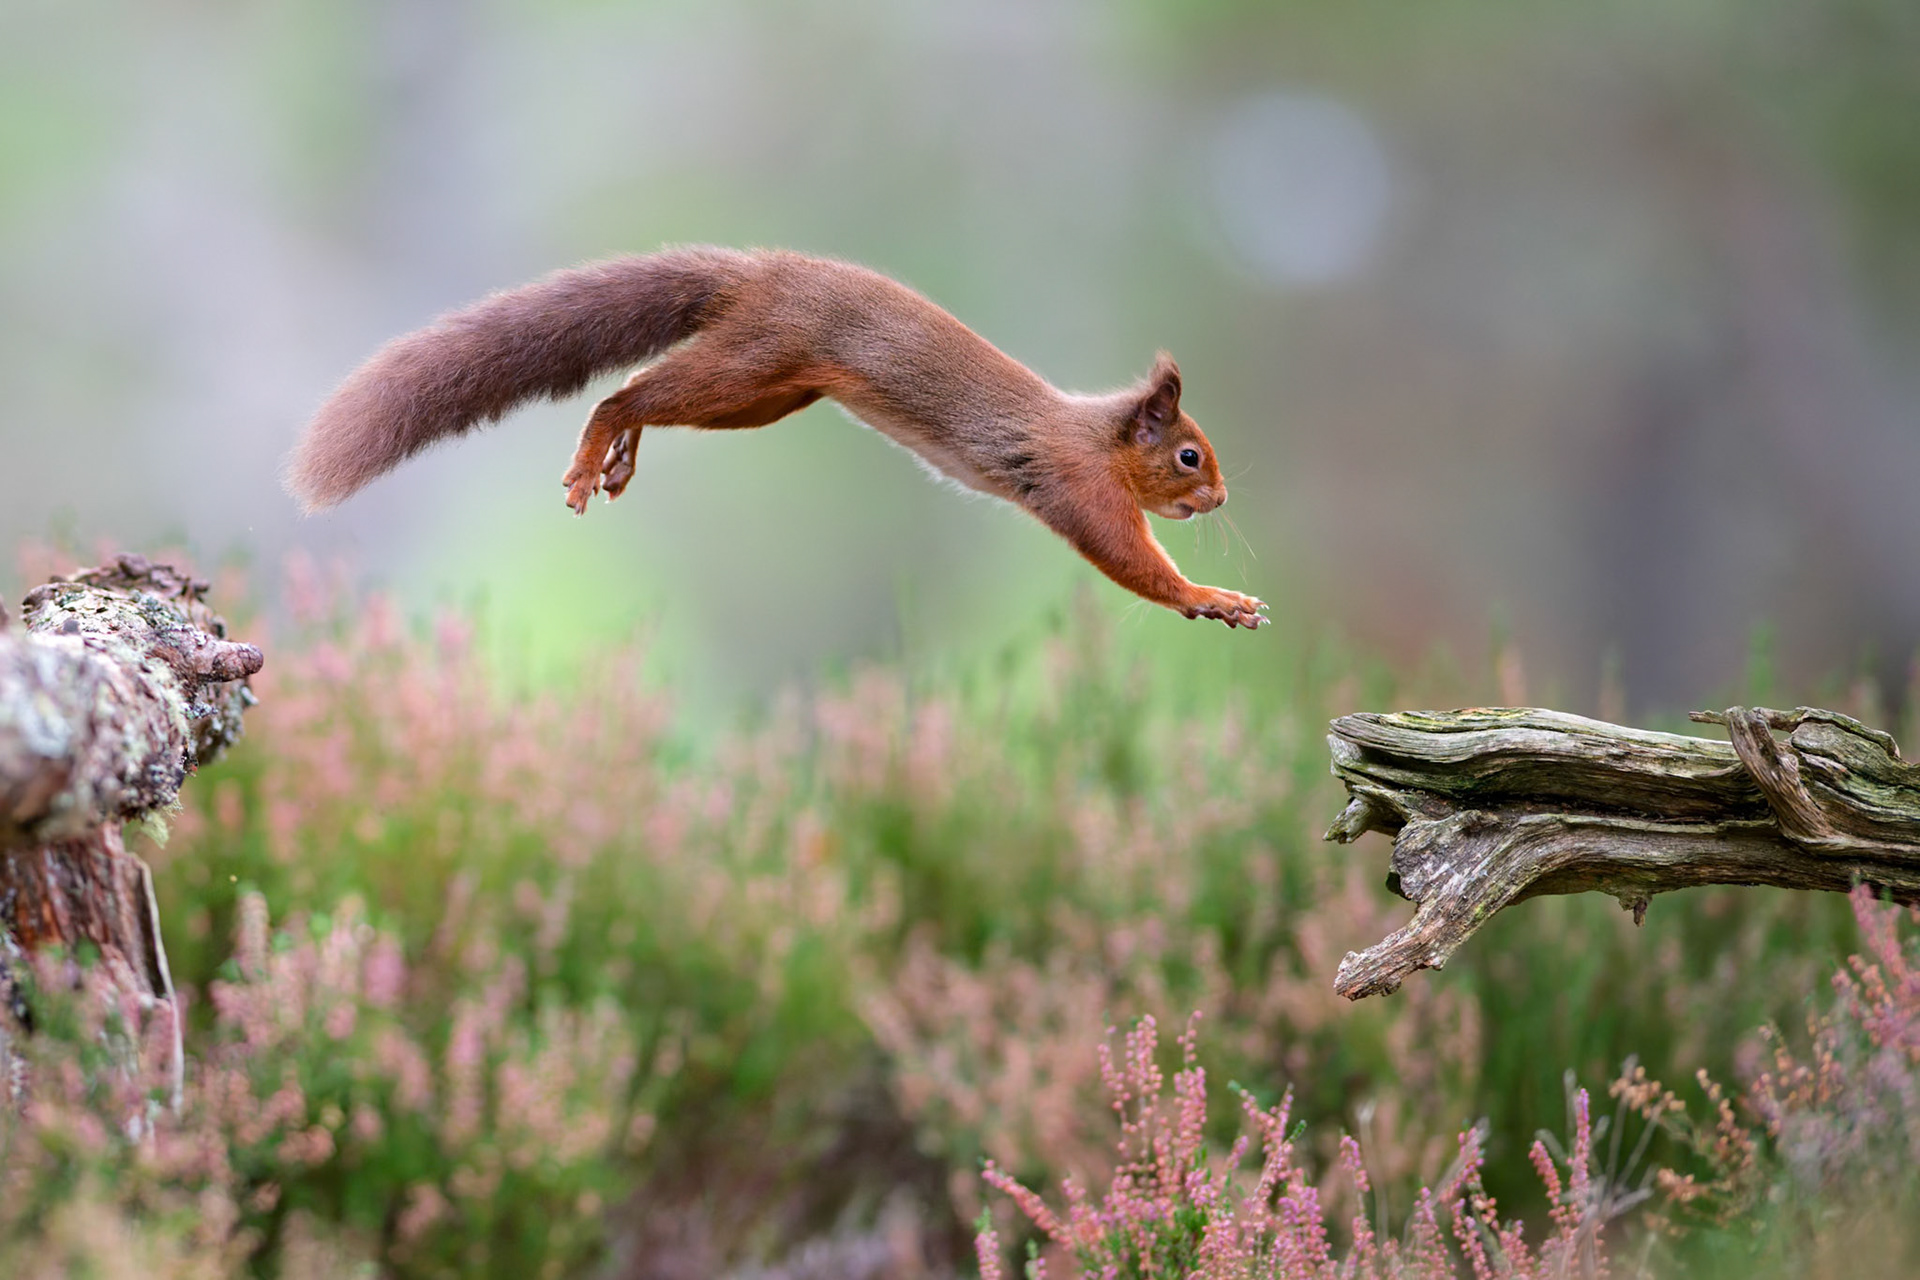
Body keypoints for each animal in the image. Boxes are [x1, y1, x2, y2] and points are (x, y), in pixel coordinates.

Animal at [288, 247, 1266, 628]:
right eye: (1188, 455)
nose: (1220, 498)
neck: (1100, 435)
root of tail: (762, 271)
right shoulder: (1076, 484)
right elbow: (1128, 559)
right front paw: (1211, 597)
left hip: (768, 396)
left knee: (646, 398)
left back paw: (622, 452)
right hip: (755, 361)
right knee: (629, 389)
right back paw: (596, 449)